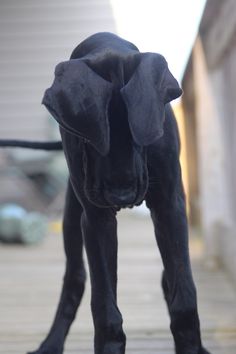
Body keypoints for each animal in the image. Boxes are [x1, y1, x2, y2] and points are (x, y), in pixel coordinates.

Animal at [1, 31, 210, 352]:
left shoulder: (170, 206)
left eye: (138, 136)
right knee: (75, 278)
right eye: (90, 137)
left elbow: (184, 299)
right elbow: (105, 310)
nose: (121, 197)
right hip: (72, 218)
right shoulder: (96, 218)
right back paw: (50, 344)